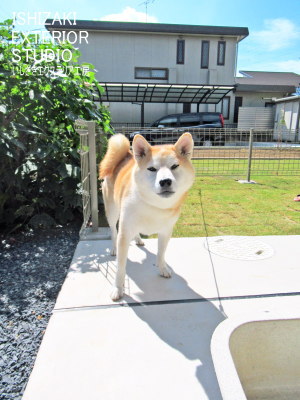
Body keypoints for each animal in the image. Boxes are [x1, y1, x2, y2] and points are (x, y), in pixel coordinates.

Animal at [99, 133, 196, 302]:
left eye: (174, 166)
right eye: (152, 169)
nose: (165, 181)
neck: (155, 205)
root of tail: (126, 155)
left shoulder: (166, 231)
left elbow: (161, 253)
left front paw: (162, 268)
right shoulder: (124, 234)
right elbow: (120, 268)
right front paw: (118, 288)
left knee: (136, 232)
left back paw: (138, 239)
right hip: (112, 211)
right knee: (113, 230)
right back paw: (114, 248)